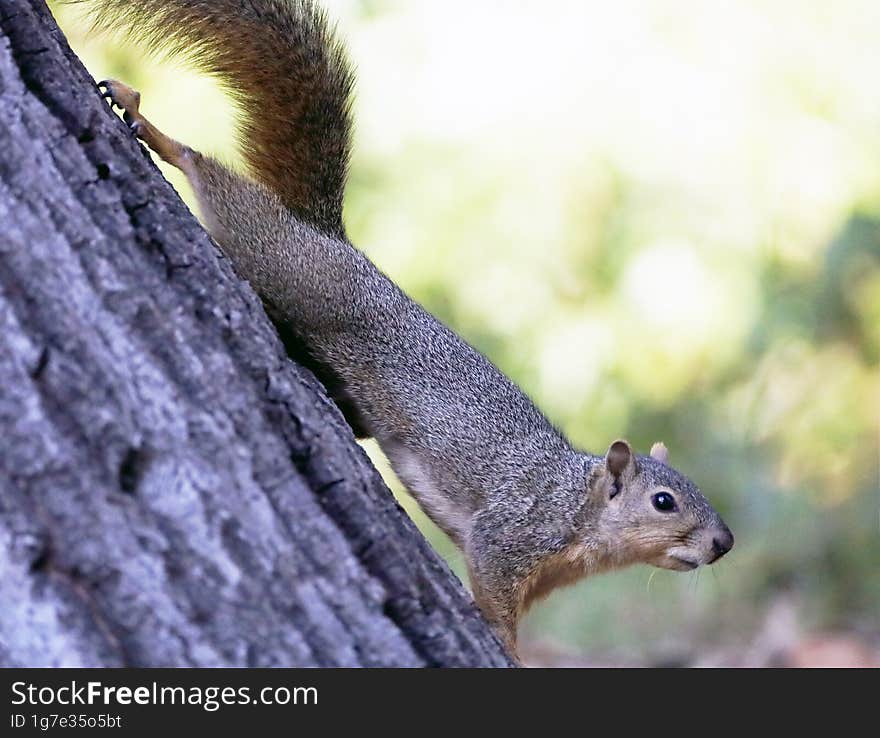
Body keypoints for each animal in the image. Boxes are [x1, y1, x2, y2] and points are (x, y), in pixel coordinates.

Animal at [75, 0, 736, 656]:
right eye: (664, 501)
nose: (723, 543)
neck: (579, 507)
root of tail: (332, 239)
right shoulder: (513, 532)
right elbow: (493, 590)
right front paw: (507, 646)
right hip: (298, 270)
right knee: (225, 190)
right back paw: (152, 126)